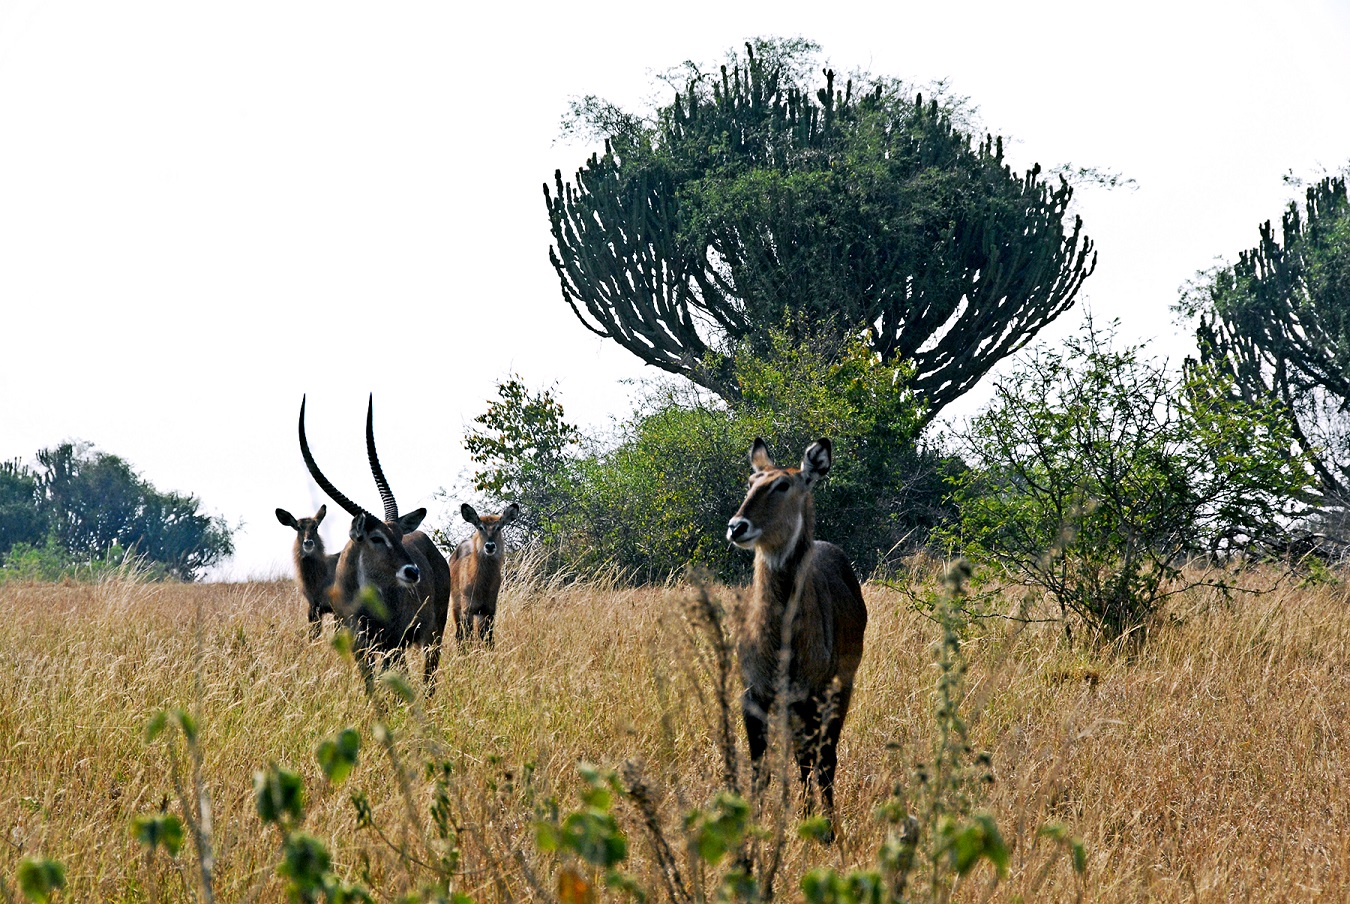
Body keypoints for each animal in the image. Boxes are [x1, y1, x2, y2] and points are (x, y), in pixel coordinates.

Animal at [297, 393, 453, 690]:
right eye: (376, 538)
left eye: (399, 535)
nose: (412, 571)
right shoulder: (360, 645)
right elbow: (371, 685)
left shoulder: (393, 643)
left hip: (432, 635)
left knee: (428, 678)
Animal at [450, 507, 518, 647]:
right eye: (480, 527)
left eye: (498, 527)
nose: (490, 546)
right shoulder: (467, 610)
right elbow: (469, 639)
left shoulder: (489, 611)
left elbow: (488, 640)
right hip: (456, 607)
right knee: (459, 636)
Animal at [729, 437, 864, 841]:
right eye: (751, 482)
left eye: (782, 484)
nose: (737, 527)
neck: (780, 640)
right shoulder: (755, 694)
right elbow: (760, 767)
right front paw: (754, 826)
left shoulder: (812, 693)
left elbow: (815, 761)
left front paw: (819, 828)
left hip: (839, 690)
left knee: (823, 758)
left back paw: (822, 821)